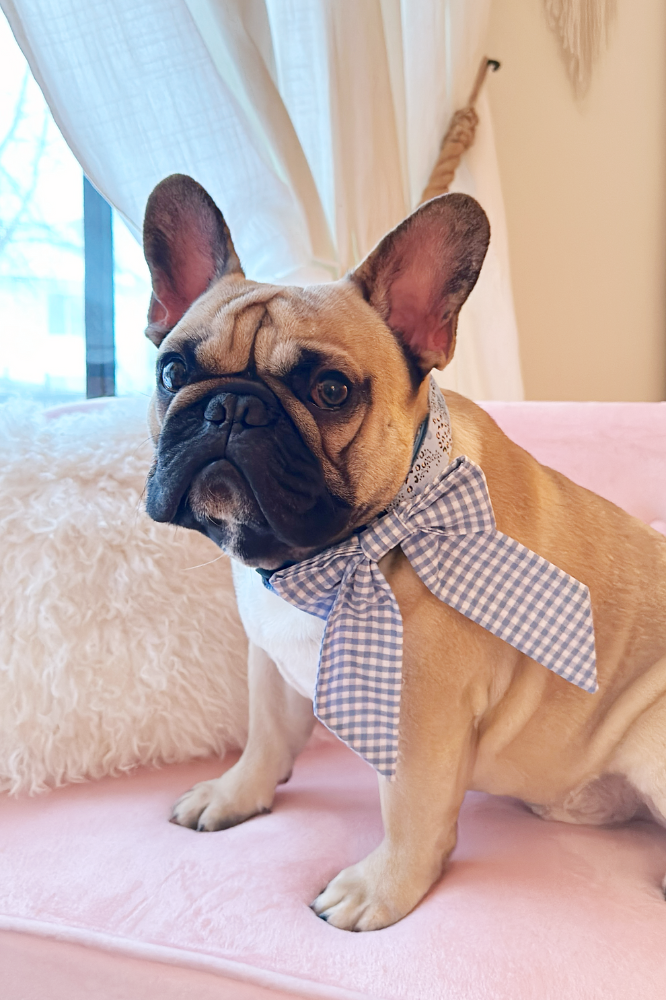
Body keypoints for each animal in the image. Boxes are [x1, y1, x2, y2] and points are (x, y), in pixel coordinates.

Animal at [143, 172, 664, 928]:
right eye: (171, 370)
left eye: (331, 390)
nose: (231, 408)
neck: (321, 560)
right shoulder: (269, 663)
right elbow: (266, 736)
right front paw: (234, 794)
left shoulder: (420, 718)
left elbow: (410, 812)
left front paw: (378, 890)